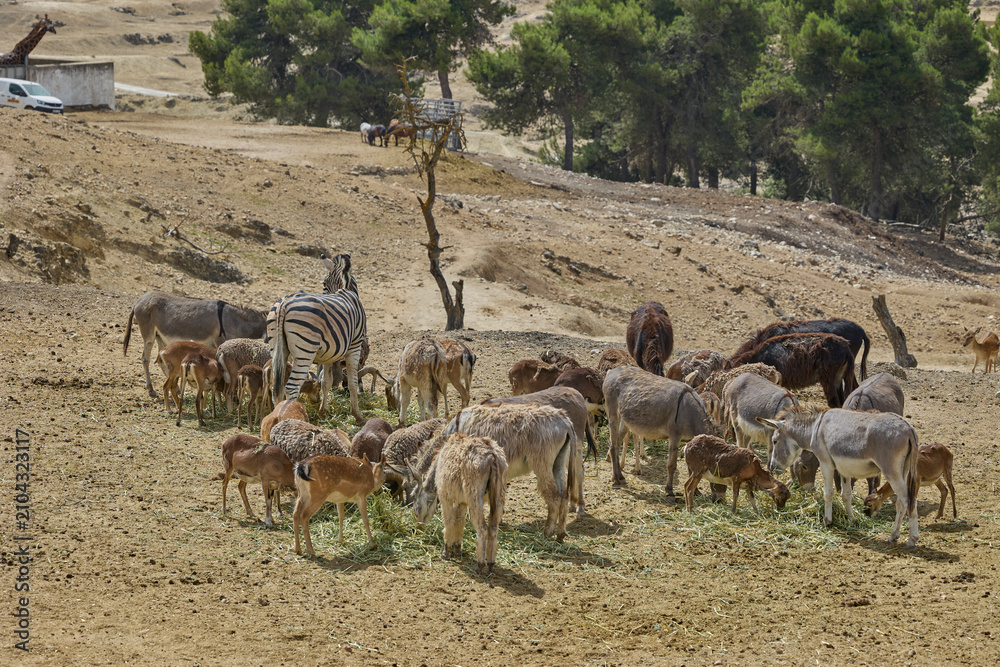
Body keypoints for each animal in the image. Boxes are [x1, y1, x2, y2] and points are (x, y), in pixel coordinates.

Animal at [270, 254, 368, 424]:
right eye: (323, 283)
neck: (345, 290)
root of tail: (284, 304)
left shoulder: (330, 354)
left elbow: (326, 382)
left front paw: (323, 411)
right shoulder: (354, 346)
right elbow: (353, 382)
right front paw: (357, 415)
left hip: (276, 348)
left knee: (277, 387)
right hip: (305, 352)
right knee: (291, 387)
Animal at [411, 433, 508, 574]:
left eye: (413, 497)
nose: (415, 529)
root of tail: (492, 455)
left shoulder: (445, 498)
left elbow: (449, 522)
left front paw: (446, 552)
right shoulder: (462, 502)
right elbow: (460, 522)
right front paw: (457, 549)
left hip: (475, 499)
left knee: (482, 528)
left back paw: (480, 565)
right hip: (498, 497)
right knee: (493, 528)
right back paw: (490, 565)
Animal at [442, 403, 576, 540]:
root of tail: (564, 419)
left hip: (542, 465)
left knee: (554, 497)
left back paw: (547, 533)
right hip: (558, 463)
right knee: (564, 496)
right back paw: (560, 534)